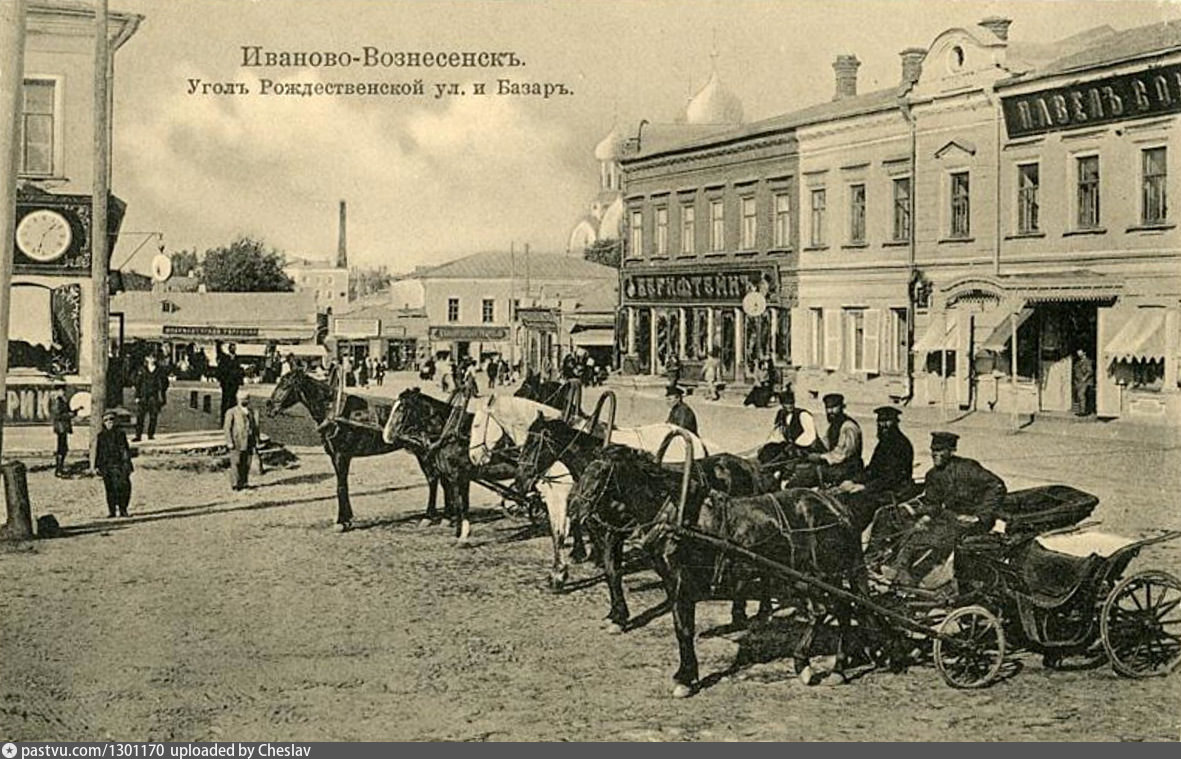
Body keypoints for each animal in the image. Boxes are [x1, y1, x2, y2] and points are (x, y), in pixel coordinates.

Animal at [562, 441, 774, 632]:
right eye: (585, 471)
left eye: (602, 472)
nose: (573, 507)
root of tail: (749, 466)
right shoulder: (606, 535)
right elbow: (610, 572)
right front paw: (616, 616)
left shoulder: (614, 534)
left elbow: (613, 572)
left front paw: (620, 617)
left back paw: (759, 612)